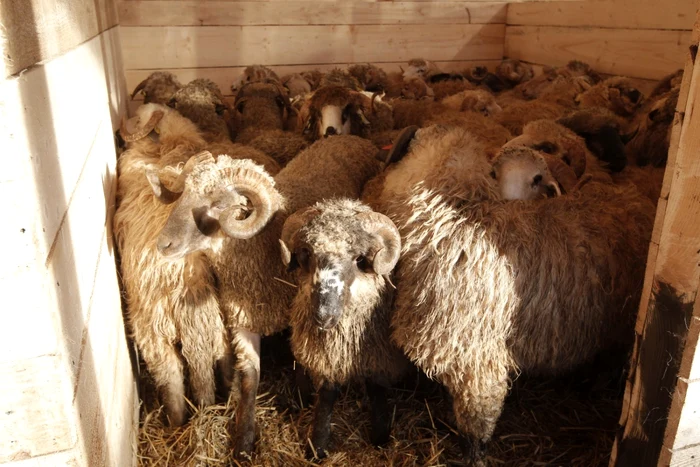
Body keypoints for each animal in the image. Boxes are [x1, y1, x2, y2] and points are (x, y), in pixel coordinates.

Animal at [113, 105, 230, 428]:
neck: (169, 145)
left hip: (154, 324)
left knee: (173, 371)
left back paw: (179, 420)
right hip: (207, 319)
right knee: (211, 361)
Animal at [149, 135, 382, 460]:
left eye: (217, 204)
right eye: (182, 193)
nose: (164, 244)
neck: (262, 252)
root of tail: (353, 138)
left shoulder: (301, 313)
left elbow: (300, 361)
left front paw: (301, 398)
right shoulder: (242, 320)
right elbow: (250, 379)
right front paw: (243, 444)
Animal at [278, 199, 410, 458]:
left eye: (358, 258)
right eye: (308, 253)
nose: (323, 316)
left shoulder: (376, 358)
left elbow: (377, 390)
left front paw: (380, 438)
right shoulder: (327, 361)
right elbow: (326, 398)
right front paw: (317, 447)